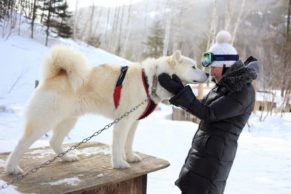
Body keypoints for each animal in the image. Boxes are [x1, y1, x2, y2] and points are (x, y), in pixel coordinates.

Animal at [5, 45, 209, 174]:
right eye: (193, 66)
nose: (207, 74)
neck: (151, 79)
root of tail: (55, 75)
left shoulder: (133, 122)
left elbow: (128, 143)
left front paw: (130, 157)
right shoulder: (123, 121)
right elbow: (118, 145)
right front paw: (119, 163)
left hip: (68, 120)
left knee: (54, 141)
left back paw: (67, 157)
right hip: (45, 120)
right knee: (22, 143)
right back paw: (12, 168)